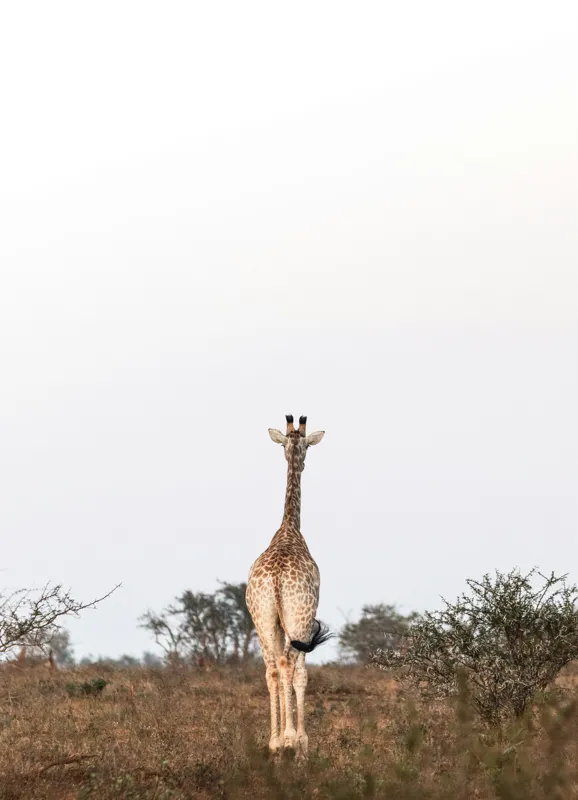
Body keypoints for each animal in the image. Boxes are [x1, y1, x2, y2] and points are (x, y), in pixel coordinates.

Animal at [246, 414, 332, 756]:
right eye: (306, 446)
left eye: (297, 446)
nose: (303, 461)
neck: (289, 529)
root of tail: (276, 578)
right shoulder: (307, 619)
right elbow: (302, 674)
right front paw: (301, 741)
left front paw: (283, 738)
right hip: (299, 617)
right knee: (289, 665)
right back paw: (289, 739)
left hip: (262, 617)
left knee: (272, 667)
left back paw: (273, 742)